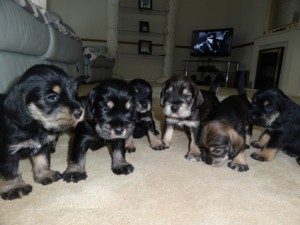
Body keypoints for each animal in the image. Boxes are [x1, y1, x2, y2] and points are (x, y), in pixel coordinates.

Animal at [0, 64, 84, 200]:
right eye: (52, 97)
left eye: (74, 93)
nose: (79, 112)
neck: (35, 125)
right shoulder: (8, 152)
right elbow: (10, 170)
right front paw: (15, 187)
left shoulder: (43, 146)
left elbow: (42, 160)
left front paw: (45, 175)